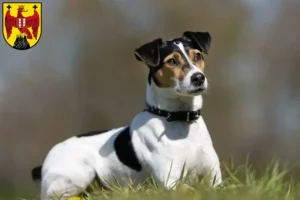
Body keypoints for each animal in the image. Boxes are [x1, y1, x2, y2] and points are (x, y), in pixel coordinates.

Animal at [31, 30, 221, 199]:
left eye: (197, 56)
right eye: (172, 61)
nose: (198, 78)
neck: (180, 120)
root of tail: (44, 163)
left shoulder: (214, 178)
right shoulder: (171, 182)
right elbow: (189, 189)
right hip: (78, 173)